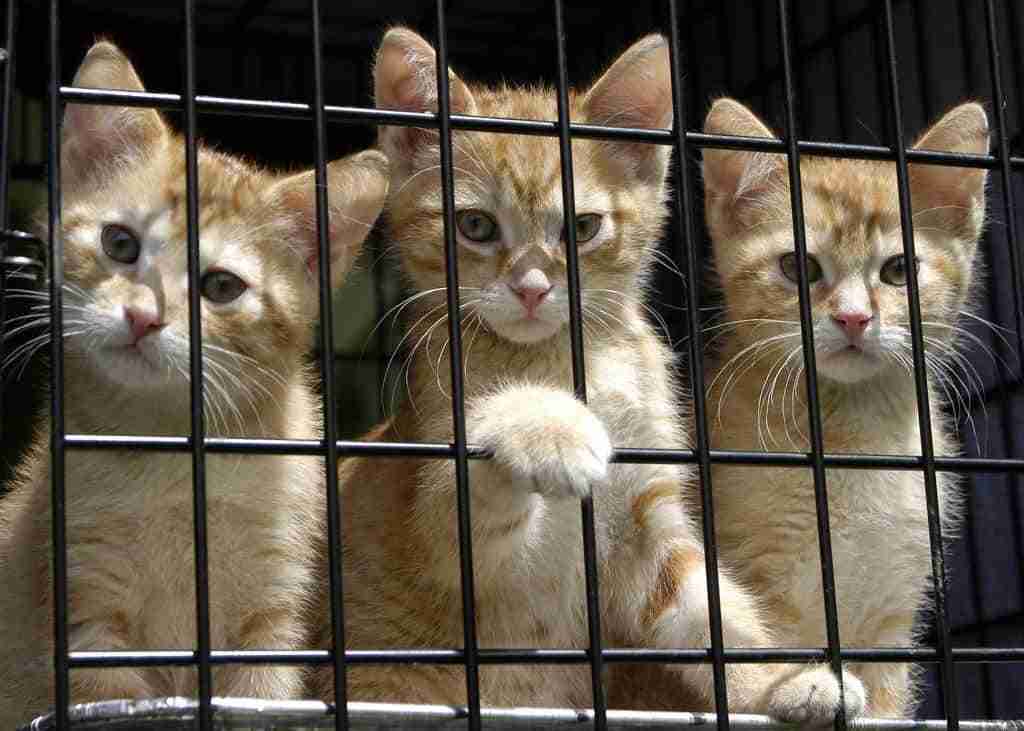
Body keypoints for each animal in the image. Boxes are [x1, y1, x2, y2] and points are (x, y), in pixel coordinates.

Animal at [0, 42, 387, 724]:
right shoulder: (85, 610)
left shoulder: (273, 611)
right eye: (119, 242)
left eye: (222, 286)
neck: (172, 459)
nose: (143, 317)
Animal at [309, 28, 847, 716]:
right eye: (475, 225)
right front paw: (549, 428)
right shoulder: (439, 534)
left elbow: (705, 607)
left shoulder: (643, 514)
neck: (572, 358)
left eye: (584, 227)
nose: (533, 288)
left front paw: (781, 678)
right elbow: (466, 497)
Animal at [700, 98, 978, 716]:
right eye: (798, 267)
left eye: (899, 270)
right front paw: (801, 684)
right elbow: (748, 638)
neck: (852, 442)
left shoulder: (894, 610)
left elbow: (887, 694)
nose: (854, 318)